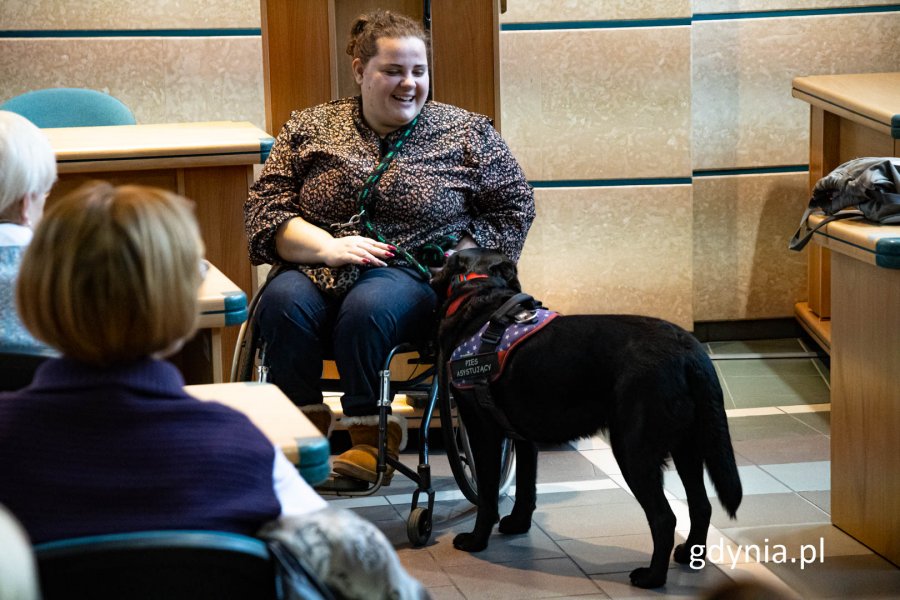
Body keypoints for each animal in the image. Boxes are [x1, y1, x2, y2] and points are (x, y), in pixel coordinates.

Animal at [432, 248, 740, 592]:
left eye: (448, 259)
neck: (482, 296)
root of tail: (690, 351)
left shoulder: (481, 431)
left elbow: (486, 495)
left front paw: (476, 540)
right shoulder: (523, 438)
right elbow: (526, 486)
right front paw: (518, 524)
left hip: (633, 450)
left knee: (665, 518)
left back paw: (651, 578)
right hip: (688, 446)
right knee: (701, 505)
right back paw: (689, 554)